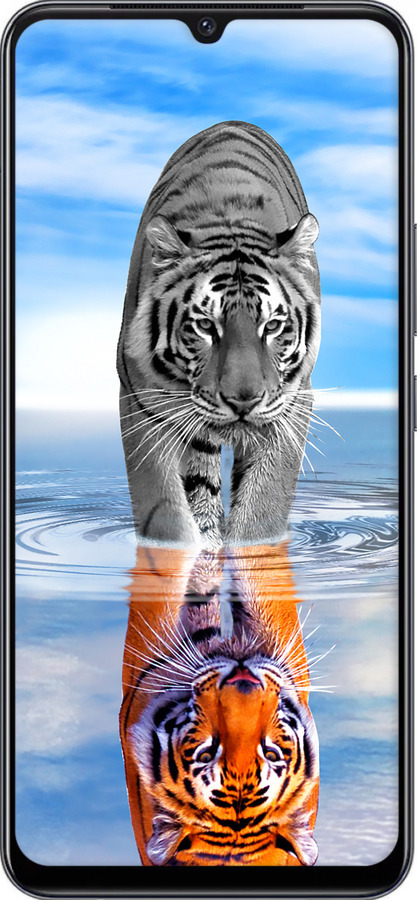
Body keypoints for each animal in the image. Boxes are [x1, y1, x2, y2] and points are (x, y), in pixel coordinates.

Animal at [117, 121, 321, 548]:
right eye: (205, 326)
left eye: (272, 326)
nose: (243, 401)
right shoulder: (141, 401)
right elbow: (165, 511)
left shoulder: (292, 404)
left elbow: (263, 509)